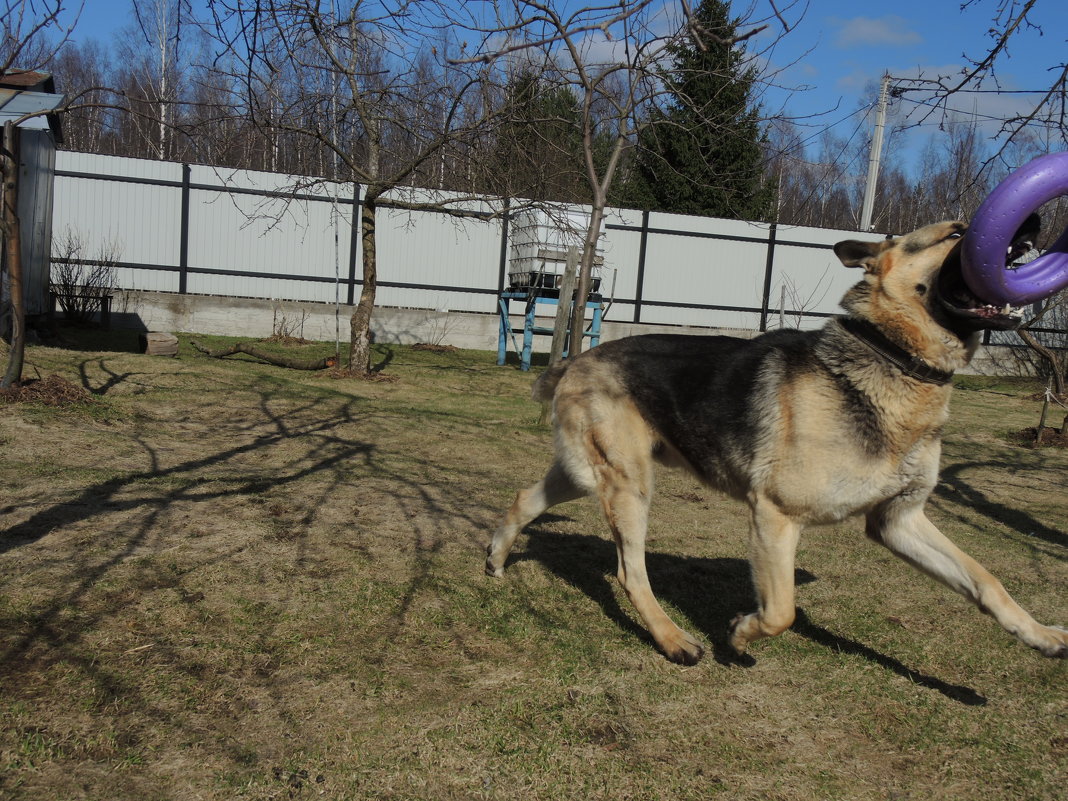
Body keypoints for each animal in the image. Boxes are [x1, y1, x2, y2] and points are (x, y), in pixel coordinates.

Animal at [487, 216, 1068, 666]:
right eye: (957, 232)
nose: (1034, 225)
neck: (893, 358)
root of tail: (577, 359)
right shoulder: (774, 516)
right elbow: (782, 611)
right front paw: (741, 633)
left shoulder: (898, 520)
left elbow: (986, 581)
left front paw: (1040, 635)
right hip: (629, 487)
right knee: (631, 572)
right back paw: (674, 641)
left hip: (591, 476)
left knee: (524, 498)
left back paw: (495, 556)